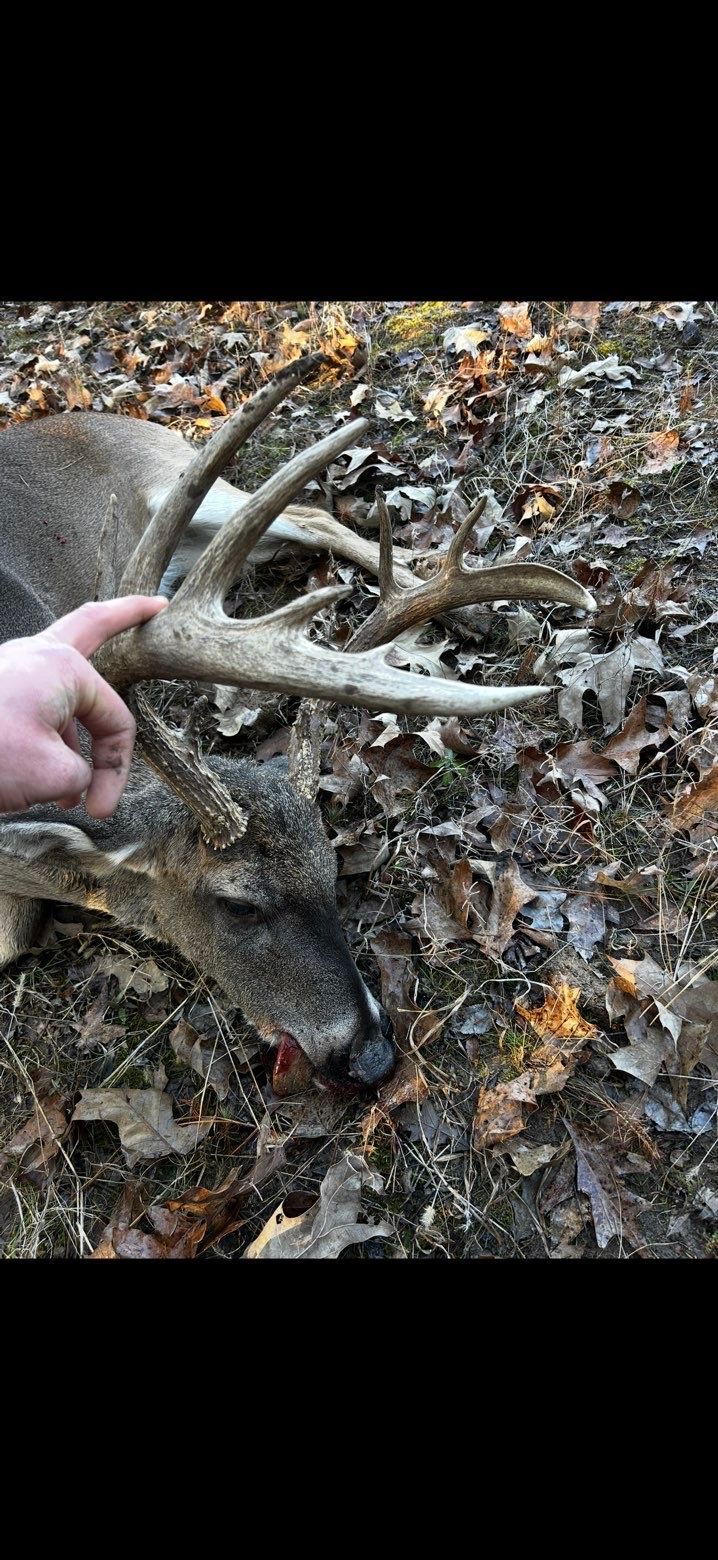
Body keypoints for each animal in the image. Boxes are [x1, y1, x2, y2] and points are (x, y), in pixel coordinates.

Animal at [0, 352, 596, 1091]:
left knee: (309, 513)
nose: (372, 1056)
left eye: (330, 865)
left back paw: (460, 599)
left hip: (183, 476)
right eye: (238, 904)